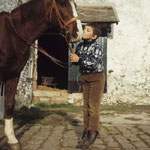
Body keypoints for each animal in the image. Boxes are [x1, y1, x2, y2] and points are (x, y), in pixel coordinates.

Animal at [0, 0, 82, 149]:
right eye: (62, 4)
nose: (78, 32)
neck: (12, 36)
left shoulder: (14, 75)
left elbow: (9, 104)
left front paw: (12, 139)